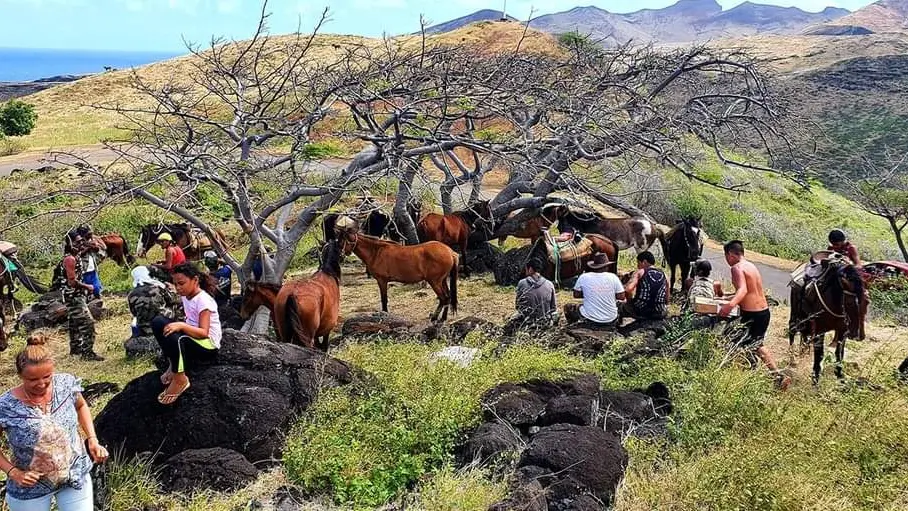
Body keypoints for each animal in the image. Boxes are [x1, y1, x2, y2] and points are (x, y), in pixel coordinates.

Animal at [788, 258, 864, 386]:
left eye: (865, 301)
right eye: (849, 302)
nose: (856, 334)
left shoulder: (842, 331)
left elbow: (839, 353)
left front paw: (840, 376)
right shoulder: (820, 330)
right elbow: (820, 355)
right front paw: (815, 379)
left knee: (804, 334)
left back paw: (803, 351)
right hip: (795, 312)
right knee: (792, 330)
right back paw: (792, 360)